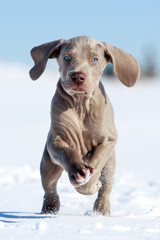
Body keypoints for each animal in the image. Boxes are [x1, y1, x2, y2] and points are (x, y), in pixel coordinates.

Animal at [29, 35, 139, 216]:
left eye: (95, 59)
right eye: (67, 58)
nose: (78, 76)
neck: (81, 105)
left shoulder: (109, 140)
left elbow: (96, 162)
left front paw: (89, 184)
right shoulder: (55, 141)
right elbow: (67, 152)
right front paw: (77, 172)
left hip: (110, 165)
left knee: (105, 188)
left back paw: (101, 210)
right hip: (48, 164)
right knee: (49, 187)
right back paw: (50, 209)